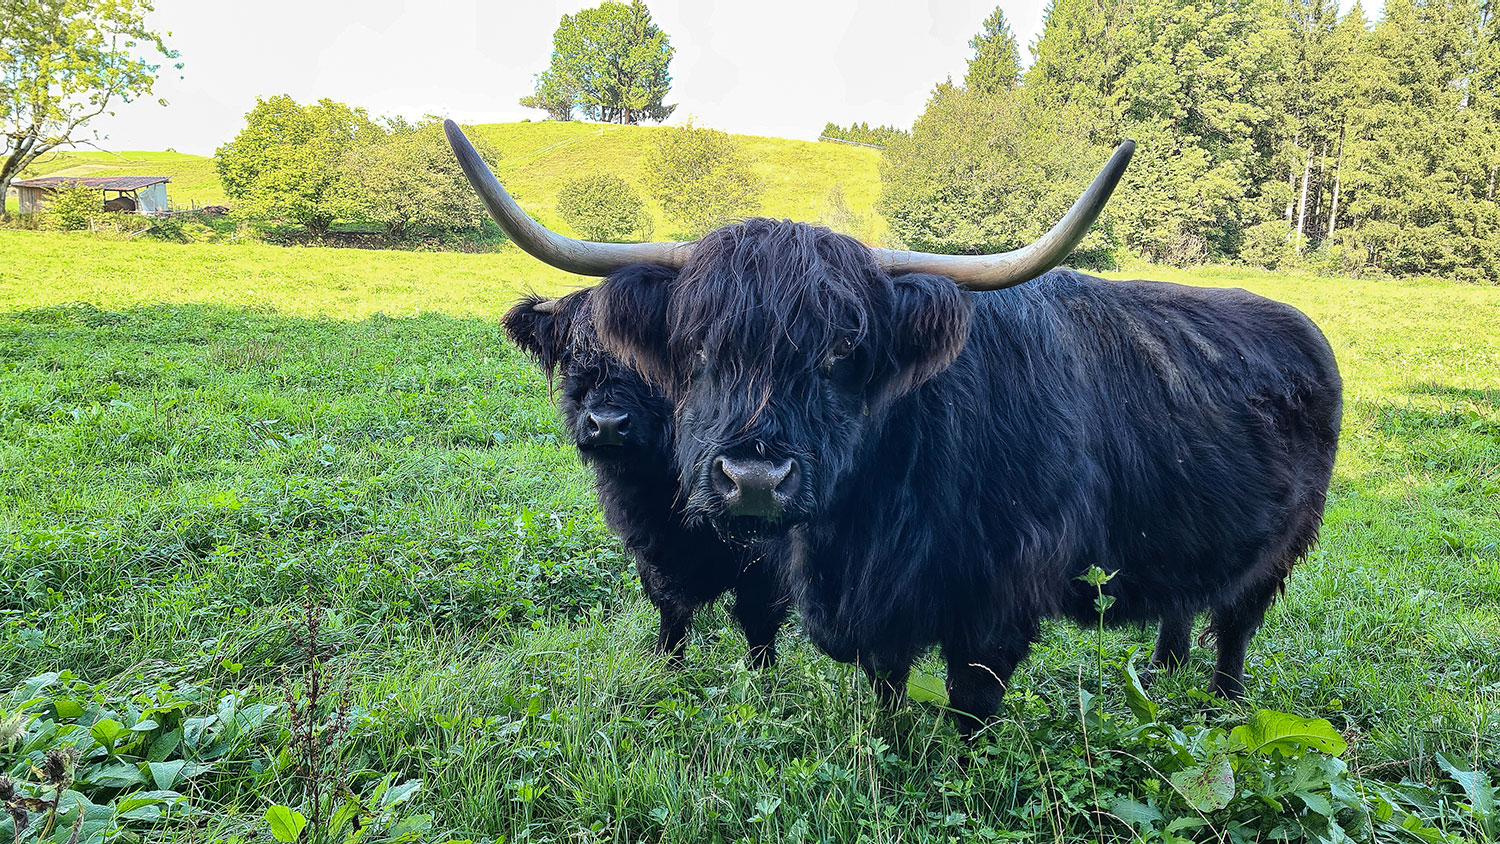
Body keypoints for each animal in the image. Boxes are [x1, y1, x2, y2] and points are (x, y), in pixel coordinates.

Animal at [502, 286, 792, 668]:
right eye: (572, 353)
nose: (607, 424)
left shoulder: (766, 561)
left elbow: (759, 621)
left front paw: (764, 676)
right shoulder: (651, 548)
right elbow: (671, 608)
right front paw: (668, 664)